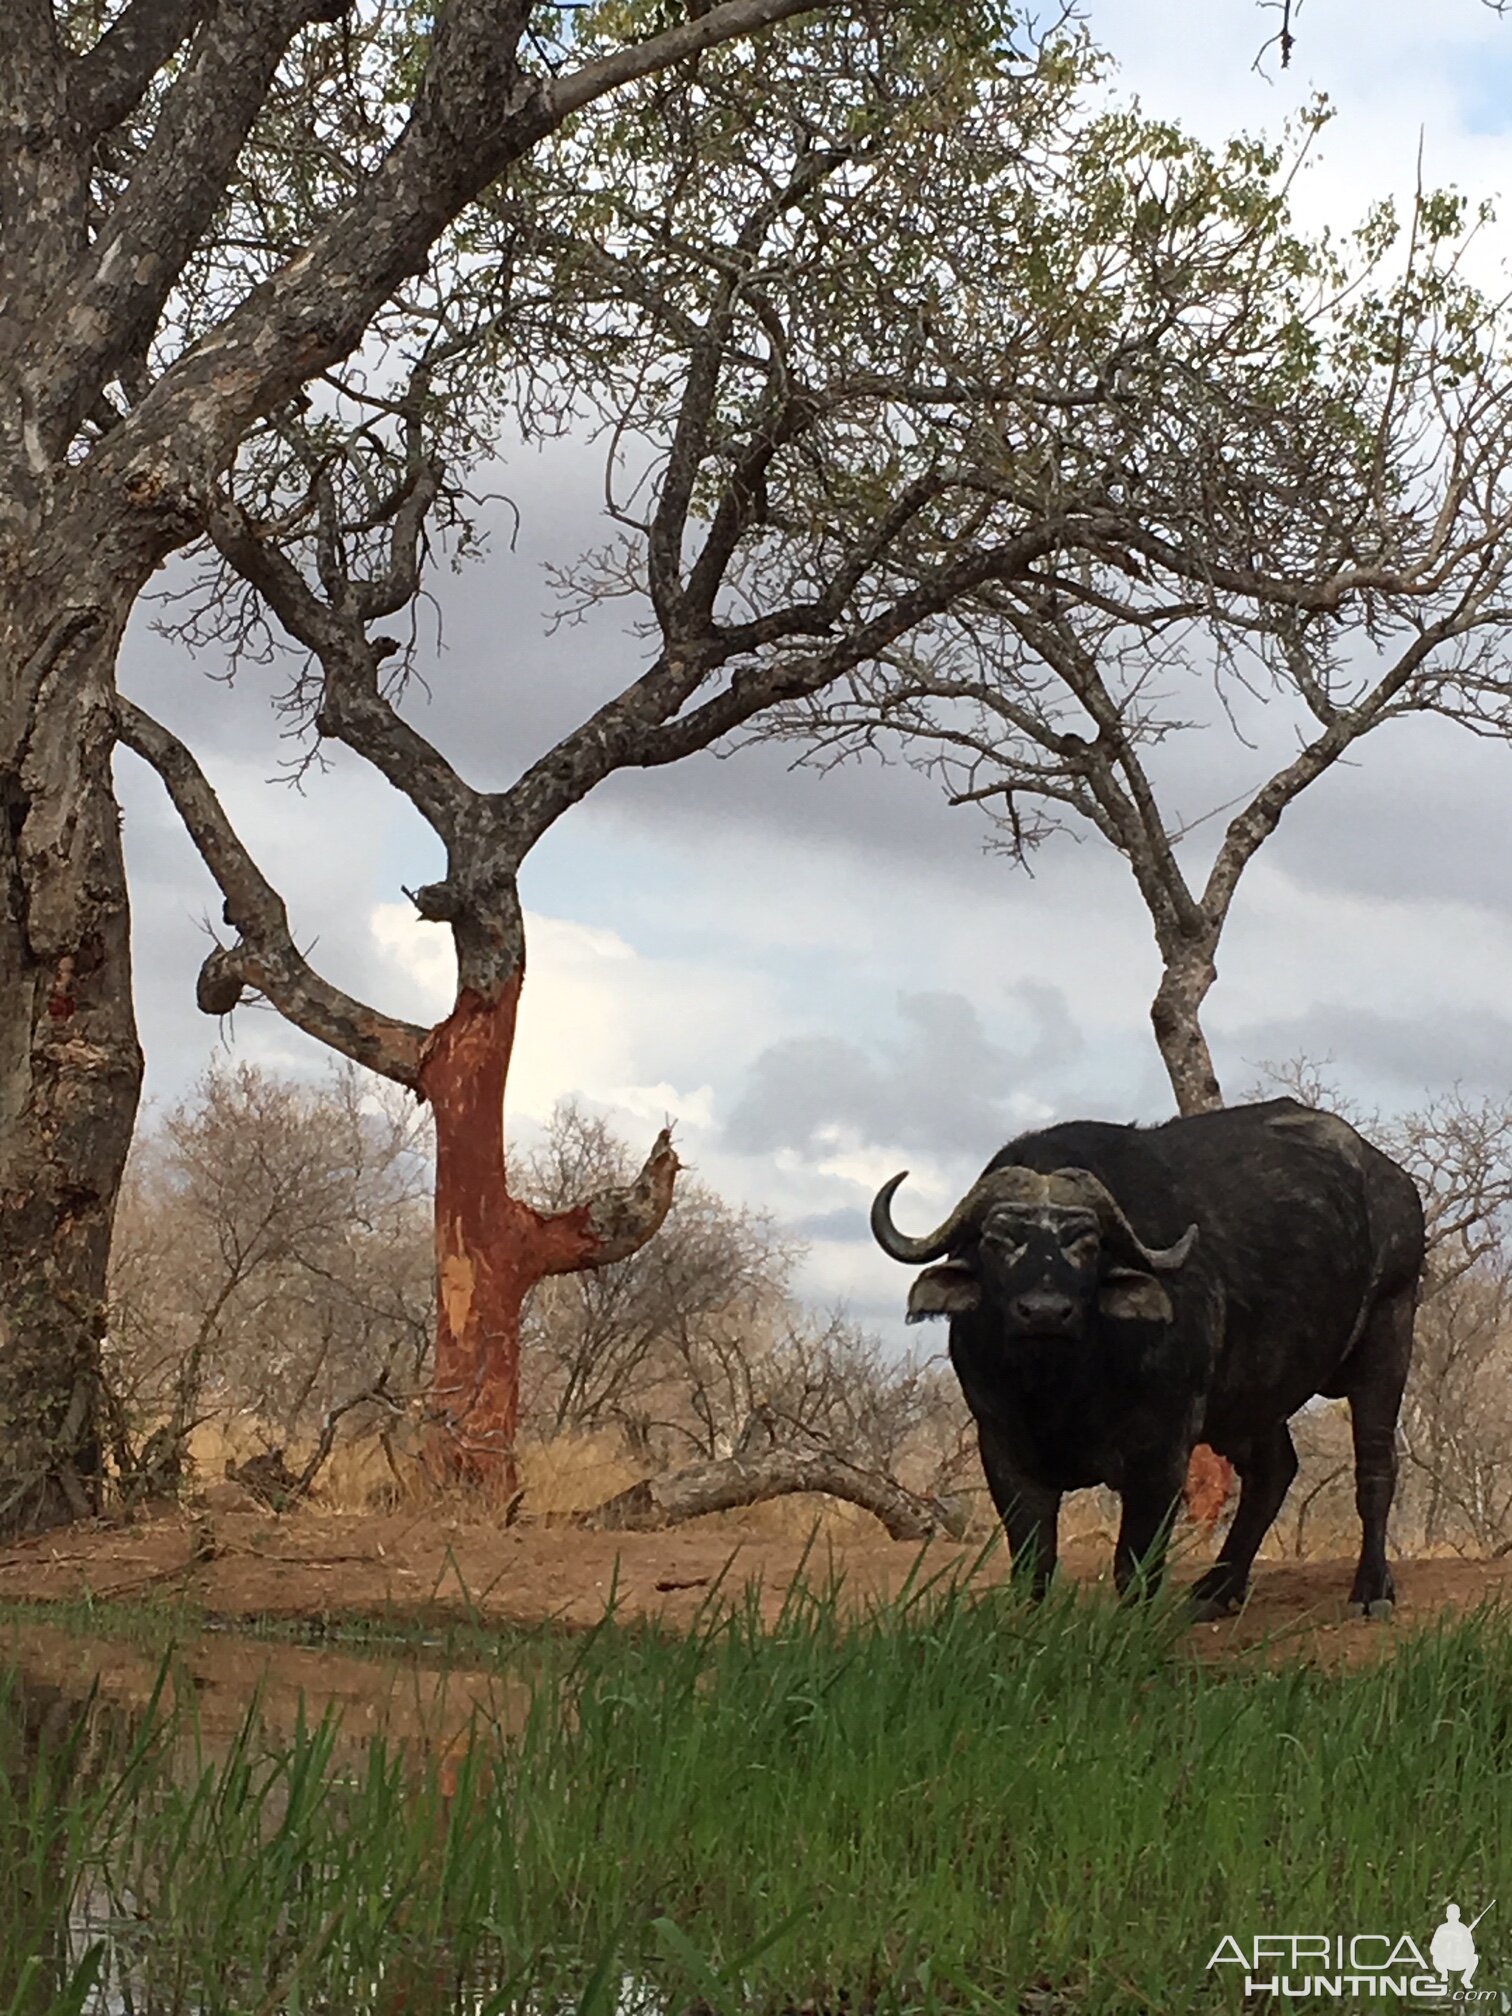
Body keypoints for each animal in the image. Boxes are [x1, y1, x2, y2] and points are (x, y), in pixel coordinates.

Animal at [870, 1096, 1427, 1612]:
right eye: (997, 1239)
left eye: (1087, 1243)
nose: (1046, 1312)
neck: (1058, 1389)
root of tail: (1394, 1183)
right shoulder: (1004, 1451)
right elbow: (1033, 1562)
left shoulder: (1161, 1456)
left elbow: (1133, 1566)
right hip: (1253, 1397)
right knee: (1274, 1471)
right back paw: (1217, 1591)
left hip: (1388, 1335)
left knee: (1375, 1470)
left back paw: (1370, 1589)